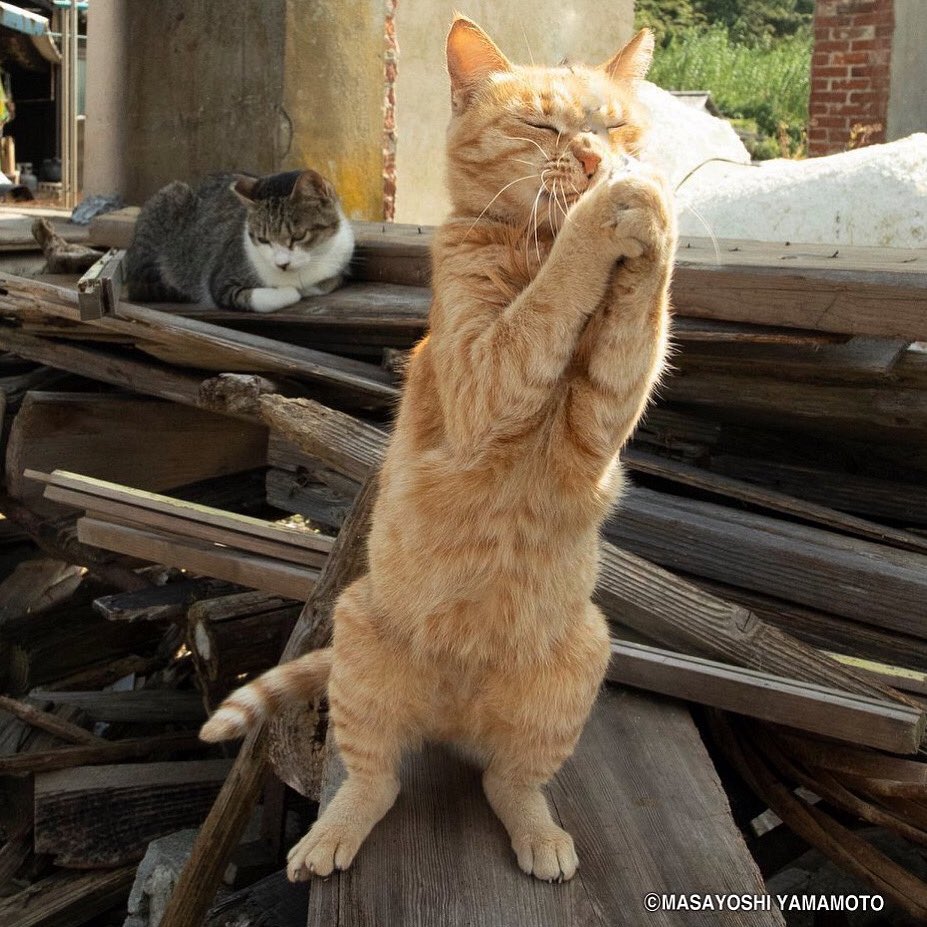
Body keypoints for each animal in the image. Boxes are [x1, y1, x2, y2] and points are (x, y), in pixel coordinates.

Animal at [124, 168, 356, 312]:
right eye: (263, 239)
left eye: (298, 236)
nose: (281, 264)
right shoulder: (220, 281)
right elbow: (270, 296)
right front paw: (291, 290)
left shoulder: (341, 262)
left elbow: (328, 281)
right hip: (169, 197)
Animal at [199, 16, 676, 884]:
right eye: (544, 127)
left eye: (616, 125)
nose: (598, 158)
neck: (529, 244)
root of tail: (454, 711)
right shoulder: (490, 374)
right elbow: (549, 300)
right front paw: (599, 215)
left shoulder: (603, 411)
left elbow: (639, 320)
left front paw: (645, 208)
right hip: (359, 647)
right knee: (372, 778)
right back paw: (327, 839)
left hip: (576, 663)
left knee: (508, 780)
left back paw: (540, 834)